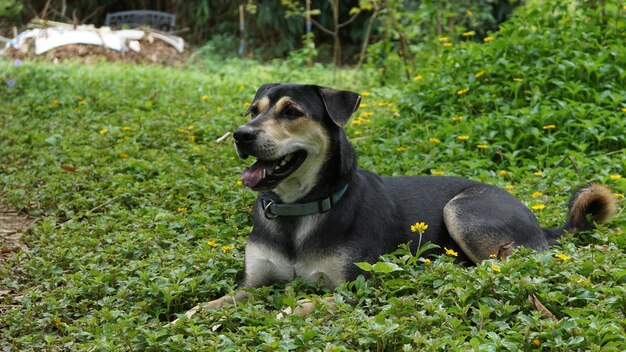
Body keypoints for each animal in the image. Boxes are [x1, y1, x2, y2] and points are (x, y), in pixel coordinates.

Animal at [174, 84, 616, 324]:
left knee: (506, 268)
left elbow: (306, 303)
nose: (241, 135)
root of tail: (541, 223)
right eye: (253, 111)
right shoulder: (253, 285)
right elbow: (211, 304)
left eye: (291, 112)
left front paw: (284, 312)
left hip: (463, 210)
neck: (298, 211)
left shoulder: (355, 287)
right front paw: (187, 316)